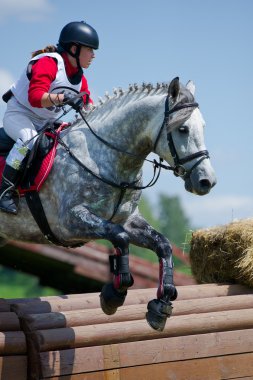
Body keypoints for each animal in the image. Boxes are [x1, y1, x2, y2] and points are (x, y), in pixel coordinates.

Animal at [0, 77, 217, 330]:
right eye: (183, 129)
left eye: (203, 126)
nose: (207, 181)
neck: (106, 158)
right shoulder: (68, 222)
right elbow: (120, 238)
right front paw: (114, 294)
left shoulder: (128, 220)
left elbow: (162, 244)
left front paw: (161, 305)